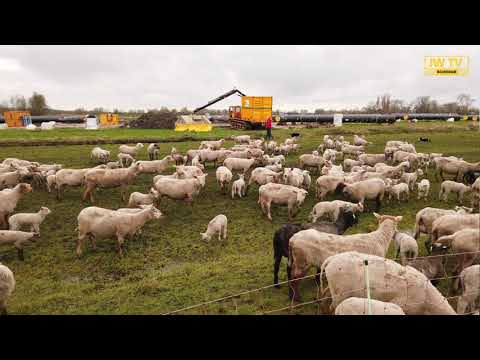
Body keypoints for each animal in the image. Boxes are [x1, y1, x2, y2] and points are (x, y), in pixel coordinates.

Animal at [320, 250, 456, 316]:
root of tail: (331, 259)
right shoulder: (402, 305)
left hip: (332, 289)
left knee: (325, 298)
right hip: (340, 294)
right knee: (332, 307)